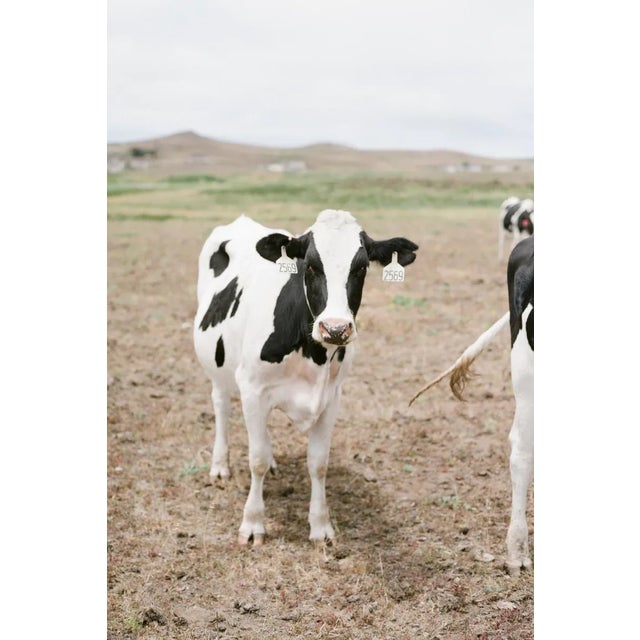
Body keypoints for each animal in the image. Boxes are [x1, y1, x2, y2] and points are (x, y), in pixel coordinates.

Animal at [193, 210, 419, 546]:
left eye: (362, 267)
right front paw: (253, 523)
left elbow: (318, 463)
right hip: (218, 367)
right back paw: (220, 466)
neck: (313, 354)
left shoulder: (332, 396)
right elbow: (256, 460)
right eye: (310, 265)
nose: (335, 328)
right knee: (221, 405)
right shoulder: (252, 388)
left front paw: (321, 525)